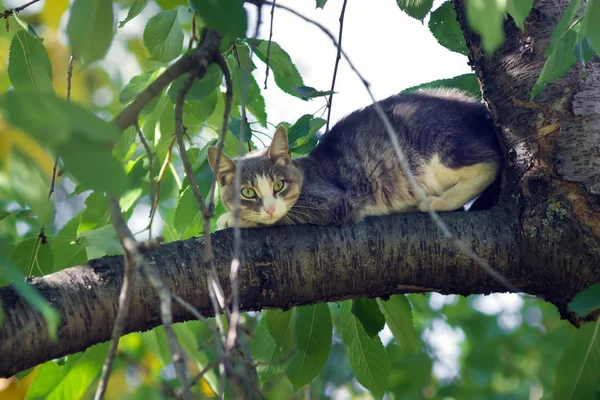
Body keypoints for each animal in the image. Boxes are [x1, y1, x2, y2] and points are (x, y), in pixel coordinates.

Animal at [206, 87, 502, 228]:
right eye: (247, 192)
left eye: (278, 185)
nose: (268, 207)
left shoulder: (333, 202)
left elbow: (281, 220)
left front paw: (231, 220)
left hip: (433, 140)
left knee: (491, 163)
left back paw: (438, 202)